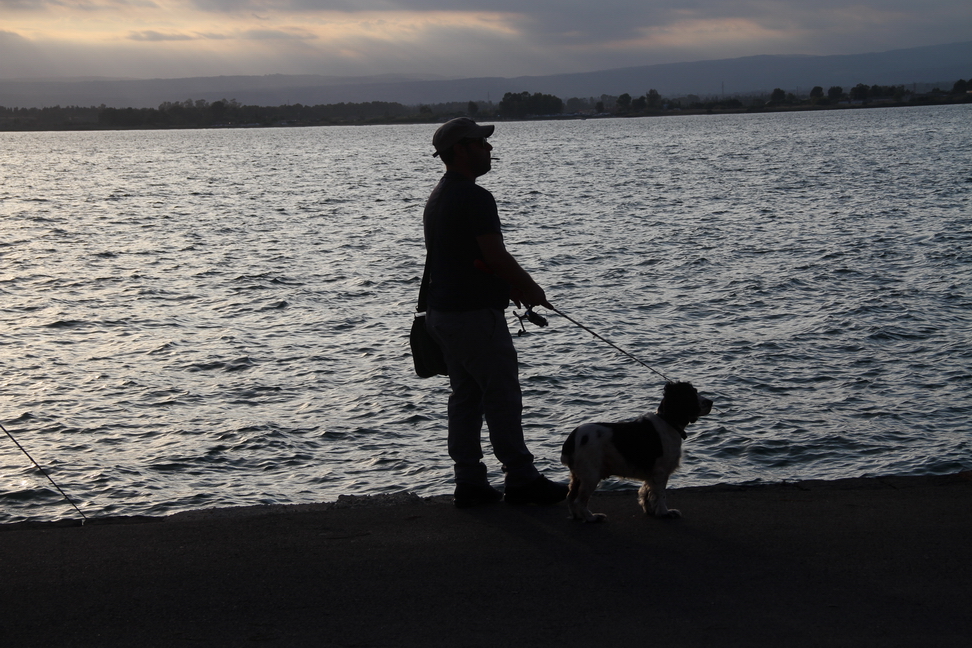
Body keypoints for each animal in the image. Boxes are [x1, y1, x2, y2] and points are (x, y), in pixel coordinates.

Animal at [560, 382, 712, 524]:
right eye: (690, 395)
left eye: (695, 391)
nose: (711, 402)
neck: (668, 422)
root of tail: (571, 439)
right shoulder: (660, 472)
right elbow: (660, 494)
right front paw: (665, 512)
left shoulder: (651, 473)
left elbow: (646, 491)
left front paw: (650, 510)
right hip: (591, 474)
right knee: (579, 500)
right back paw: (592, 517)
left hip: (578, 475)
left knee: (570, 497)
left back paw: (577, 516)